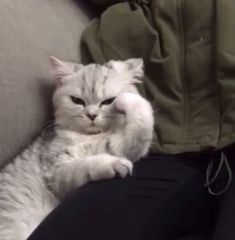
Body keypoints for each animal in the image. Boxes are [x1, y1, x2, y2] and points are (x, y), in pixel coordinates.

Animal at [0, 57, 154, 239]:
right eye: (77, 101)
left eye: (108, 101)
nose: (92, 115)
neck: (89, 136)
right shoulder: (57, 171)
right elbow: (86, 164)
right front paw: (113, 164)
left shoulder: (119, 145)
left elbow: (142, 124)